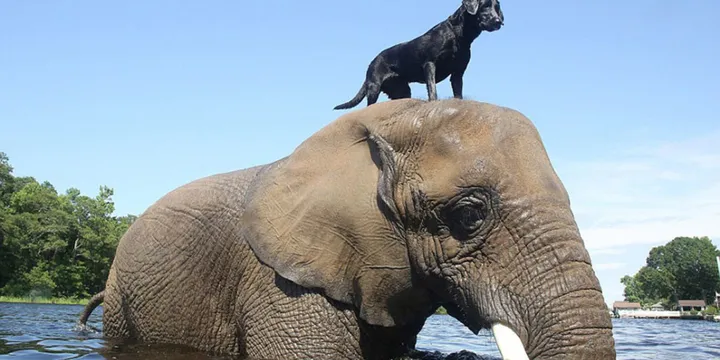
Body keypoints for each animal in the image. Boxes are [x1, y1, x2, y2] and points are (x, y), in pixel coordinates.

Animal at [334, 0, 504, 109]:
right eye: (484, 6)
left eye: (497, 7)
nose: (498, 21)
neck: (457, 34)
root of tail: (372, 62)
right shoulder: (430, 64)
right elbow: (432, 89)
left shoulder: (458, 73)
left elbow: (458, 93)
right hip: (374, 88)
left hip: (402, 90)